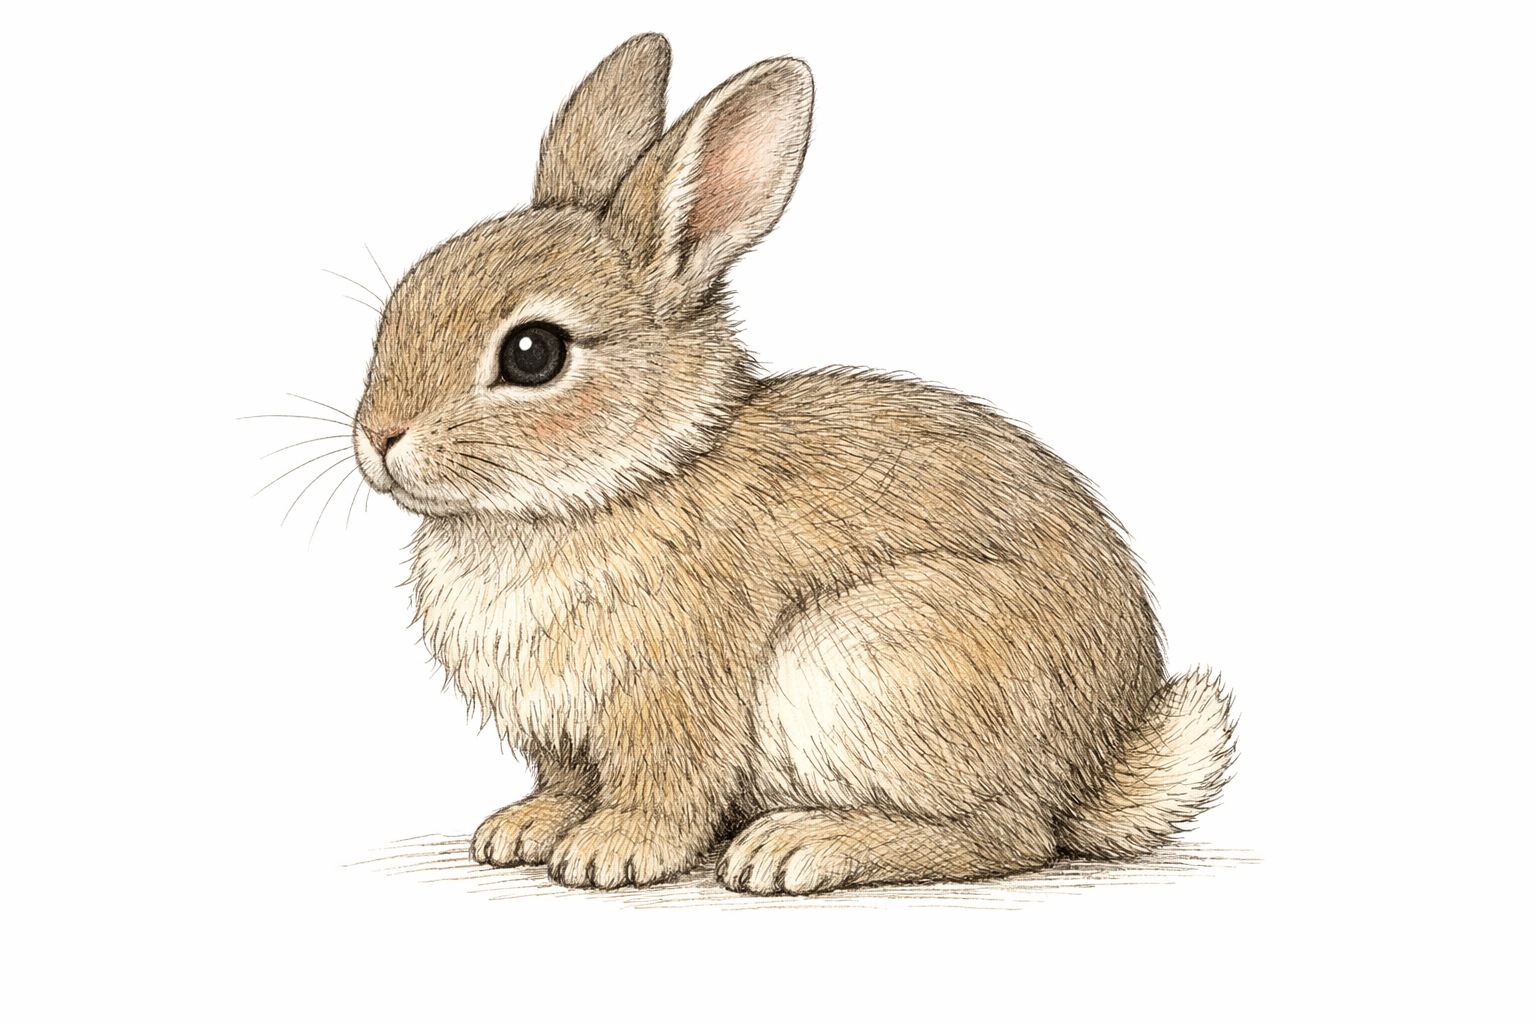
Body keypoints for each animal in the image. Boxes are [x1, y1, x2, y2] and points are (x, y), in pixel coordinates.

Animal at [349, 33, 1236, 895]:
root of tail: (1097, 766)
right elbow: (566, 782)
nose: (379, 438)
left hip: (872, 658)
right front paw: (523, 830)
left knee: (1008, 835)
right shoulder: (561, 735)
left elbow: (665, 786)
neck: (618, 481)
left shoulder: (675, 692)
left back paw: (798, 847)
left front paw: (612, 853)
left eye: (533, 354)